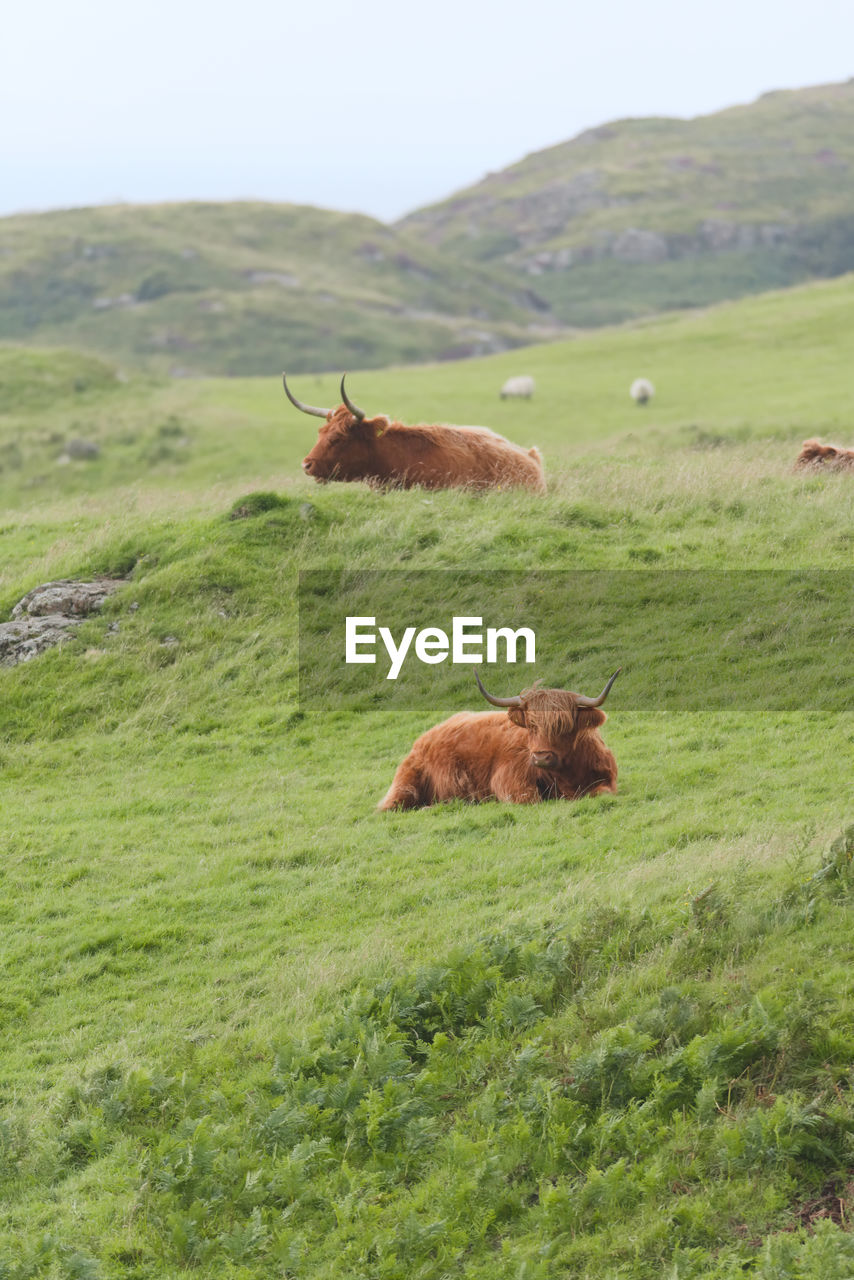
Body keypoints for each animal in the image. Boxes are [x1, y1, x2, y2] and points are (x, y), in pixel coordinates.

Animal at [376, 660, 617, 808]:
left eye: (564, 725)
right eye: (531, 725)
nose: (541, 756)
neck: (568, 776)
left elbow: (604, 792)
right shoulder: (509, 779)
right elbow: (530, 799)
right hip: (405, 785)